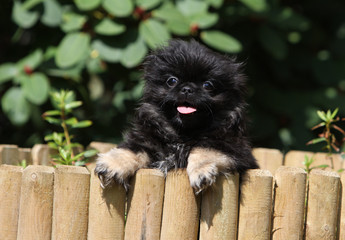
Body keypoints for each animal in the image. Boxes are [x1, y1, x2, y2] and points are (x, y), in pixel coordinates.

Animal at [93, 39, 255, 193]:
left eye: (208, 85)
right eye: (172, 81)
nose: (187, 89)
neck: (182, 135)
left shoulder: (232, 148)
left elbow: (204, 150)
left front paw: (201, 171)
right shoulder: (146, 141)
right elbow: (131, 150)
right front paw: (112, 165)